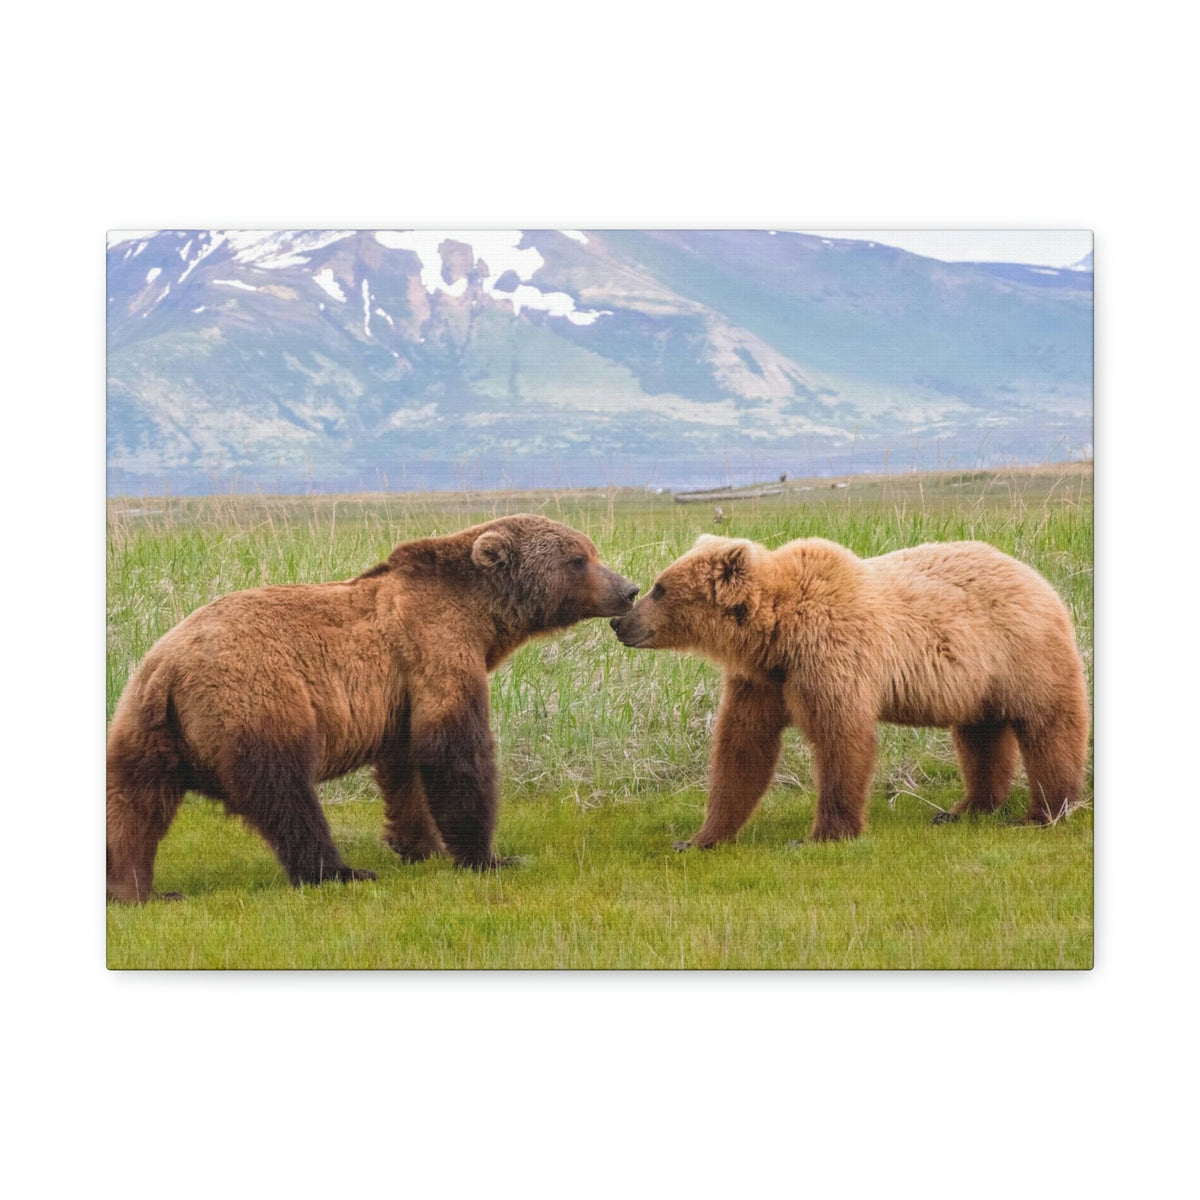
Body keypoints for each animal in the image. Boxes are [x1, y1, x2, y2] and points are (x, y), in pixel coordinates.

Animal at [106, 514, 639, 902]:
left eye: (590, 551)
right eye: (578, 559)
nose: (629, 589)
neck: (481, 618)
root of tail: (168, 669)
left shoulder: (399, 697)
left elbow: (406, 768)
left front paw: (420, 845)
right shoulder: (436, 649)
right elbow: (454, 751)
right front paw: (488, 856)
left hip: (143, 727)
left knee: (132, 806)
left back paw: (135, 889)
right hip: (254, 701)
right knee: (285, 794)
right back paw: (339, 872)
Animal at [610, 534, 1089, 847]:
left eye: (660, 588)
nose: (620, 621)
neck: (777, 632)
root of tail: (1039, 578)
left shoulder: (830, 656)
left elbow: (841, 738)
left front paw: (825, 834)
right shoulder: (764, 679)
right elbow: (743, 747)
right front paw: (702, 836)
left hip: (1022, 653)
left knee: (1048, 727)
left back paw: (1045, 811)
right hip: (976, 680)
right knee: (980, 736)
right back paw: (964, 809)